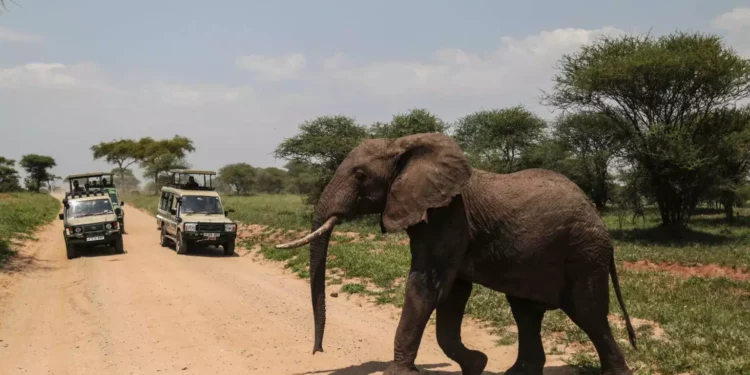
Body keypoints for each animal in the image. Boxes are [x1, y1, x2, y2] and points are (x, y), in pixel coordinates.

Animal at [276, 134, 640, 374]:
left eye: (360, 175)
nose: (318, 350)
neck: (405, 145)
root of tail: (597, 216)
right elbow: (451, 293)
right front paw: (477, 364)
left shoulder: (449, 216)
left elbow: (427, 286)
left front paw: (401, 373)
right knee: (526, 311)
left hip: (584, 252)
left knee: (588, 312)